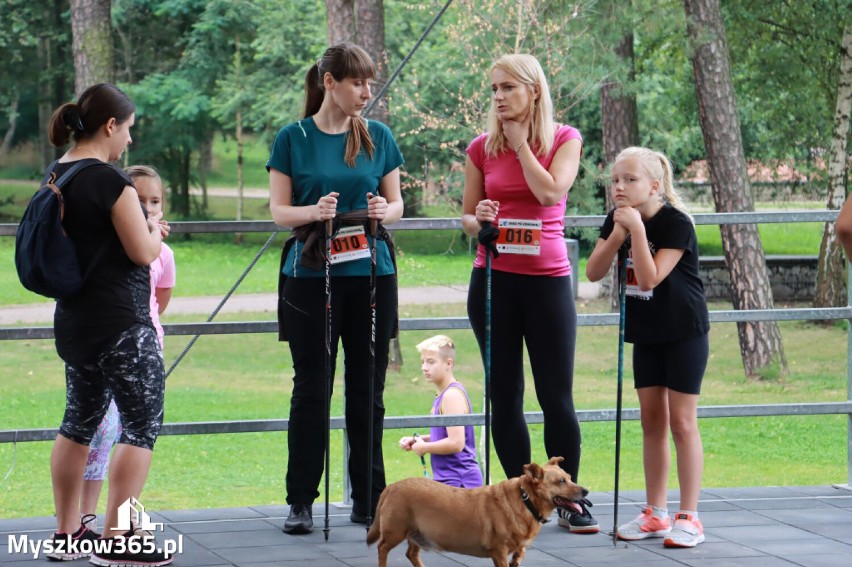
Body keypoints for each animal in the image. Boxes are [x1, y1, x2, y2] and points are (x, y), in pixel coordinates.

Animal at [366, 458, 584, 567]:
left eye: (570, 477)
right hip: (396, 531)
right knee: (382, 548)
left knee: (411, 553)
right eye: (561, 482)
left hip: (417, 533)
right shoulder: (499, 552)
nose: (585, 491)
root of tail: (392, 486)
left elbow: (519, 554)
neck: (526, 500)